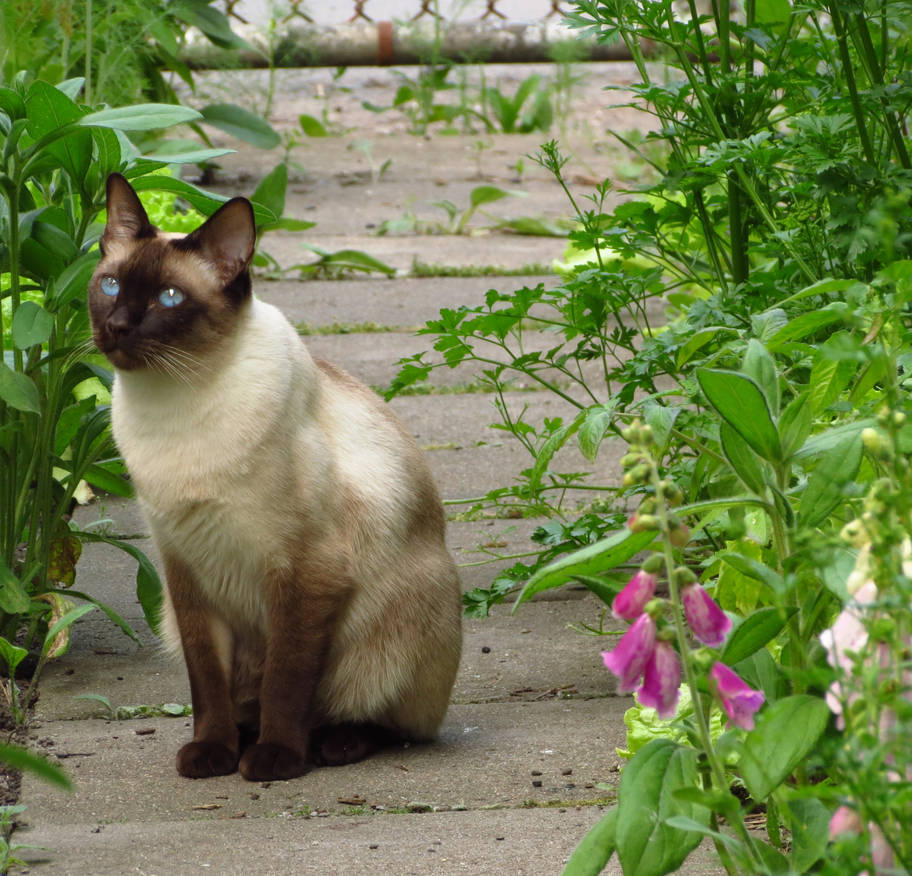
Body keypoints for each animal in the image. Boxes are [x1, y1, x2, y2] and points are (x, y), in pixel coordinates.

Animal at [89, 175, 464, 784]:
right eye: (111, 285)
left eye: (168, 298)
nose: (117, 326)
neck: (175, 407)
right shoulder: (186, 572)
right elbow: (207, 684)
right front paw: (212, 755)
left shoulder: (304, 572)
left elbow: (286, 681)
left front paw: (275, 761)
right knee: (246, 698)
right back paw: (244, 740)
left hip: (399, 618)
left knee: (385, 720)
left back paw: (328, 746)